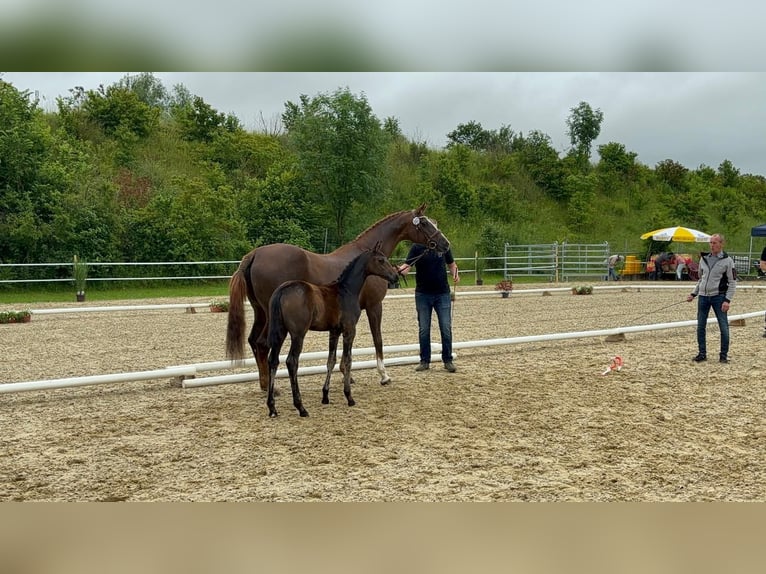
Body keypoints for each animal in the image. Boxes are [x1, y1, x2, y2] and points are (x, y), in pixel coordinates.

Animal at [225, 205, 450, 394]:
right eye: (424, 223)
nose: (445, 244)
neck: (366, 259)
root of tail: (254, 254)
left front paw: (345, 374)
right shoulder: (374, 306)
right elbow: (378, 339)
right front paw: (383, 375)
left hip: (260, 312)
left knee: (254, 341)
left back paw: (264, 384)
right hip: (272, 316)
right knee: (263, 344)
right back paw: (270, 388)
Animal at [268, 243, 402, 418]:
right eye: (381, 260)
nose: (395, 277)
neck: (347, 290)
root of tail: (283, 290)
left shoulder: (334, 332)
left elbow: (330, 361)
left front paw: (325, 396)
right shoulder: (349, 330)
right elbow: (348, 360)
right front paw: (349, 397)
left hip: (280, 333)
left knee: (273, 360)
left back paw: (272, 408)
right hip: (298, 335)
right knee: (292, 362)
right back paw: (301, 407)